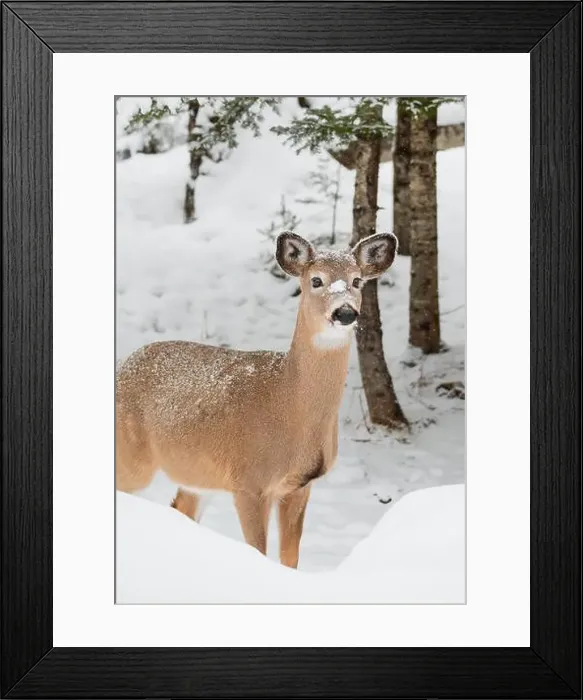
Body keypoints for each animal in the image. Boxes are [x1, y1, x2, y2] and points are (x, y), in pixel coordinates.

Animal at [116, 231, 397, 568]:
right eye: (316, 280)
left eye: (357, 281)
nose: (345, 312)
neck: (288, 402)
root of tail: (122, 366)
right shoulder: (249, 482)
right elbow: (258, 551)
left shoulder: (300, 486)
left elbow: (290, 558)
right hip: (130, 458)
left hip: (197, 475)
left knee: (180, 509)